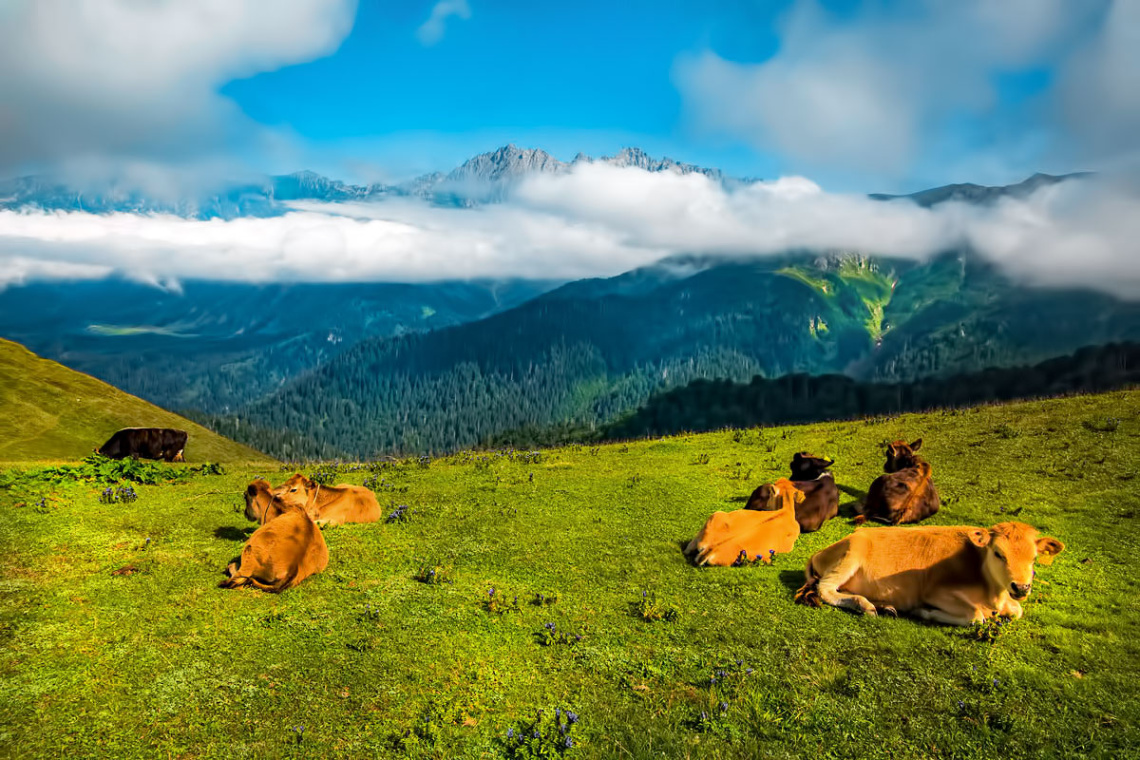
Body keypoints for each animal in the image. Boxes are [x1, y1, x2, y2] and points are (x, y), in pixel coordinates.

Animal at [798, 524, 1062, 624]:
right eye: (998, 553)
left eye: (1034, 558)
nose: (1021, 587)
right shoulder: (935, 591)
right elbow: (976, 615)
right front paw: (923, 612)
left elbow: (1017, 610)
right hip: (851, 555)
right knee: (826, 589)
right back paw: (864, 605)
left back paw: (884, 606)